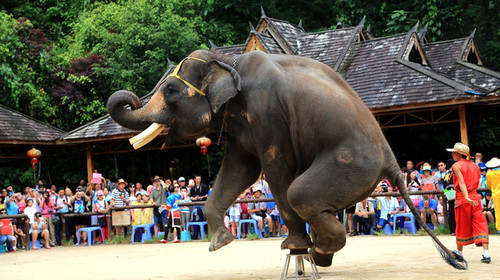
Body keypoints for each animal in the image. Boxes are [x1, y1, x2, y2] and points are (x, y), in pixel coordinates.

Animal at [107, 49, 466, 270]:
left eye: (170, 91)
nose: (132, 98)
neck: (228, 60)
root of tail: (392, 160)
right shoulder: (241, 125)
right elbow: (240, 169)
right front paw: (220, 243)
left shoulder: (268, 114)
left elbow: (275, 170)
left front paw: (291, 245)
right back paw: (319, 255)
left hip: (353, 164)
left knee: (300, 194)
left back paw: (316, 251)